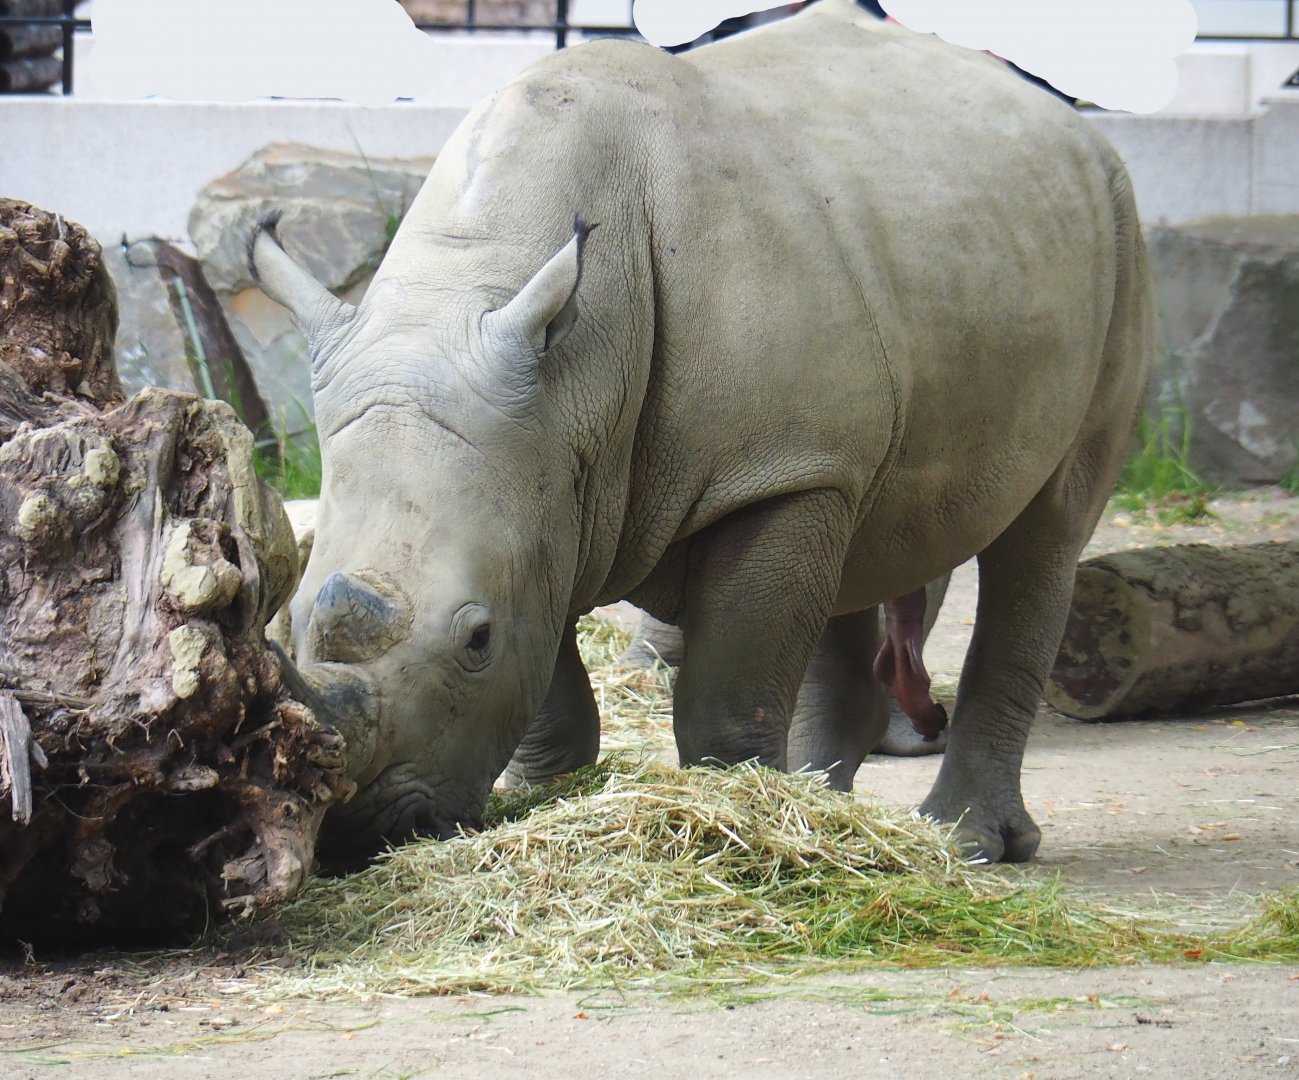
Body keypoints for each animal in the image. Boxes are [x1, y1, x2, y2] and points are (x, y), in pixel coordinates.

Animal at [252, 0, 1152, 865]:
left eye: (475, 639)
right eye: (287, 622)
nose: (359, 832)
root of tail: (1068, 120)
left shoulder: (762, 467)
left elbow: (725, 687)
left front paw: (731, 814)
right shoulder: (536, 467)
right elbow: (548, 659)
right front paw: (543, 793)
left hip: (1116, 227)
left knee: (1042, 534)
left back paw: (962, 842)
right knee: (860, 530)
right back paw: (826, 810)